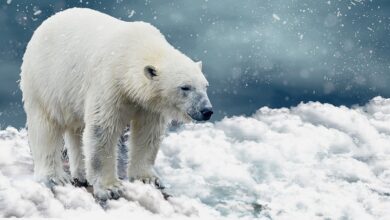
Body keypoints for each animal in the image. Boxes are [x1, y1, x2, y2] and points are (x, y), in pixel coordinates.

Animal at [19, 7, 213, 200]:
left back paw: (81, 174)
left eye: (205, 86)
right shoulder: (109, 83)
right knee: (45, 127)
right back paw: (54, 177)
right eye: (185, 87)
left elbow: (148, 133)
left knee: (77, 130)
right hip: (45, 83)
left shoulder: (148, 104)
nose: (207, 110)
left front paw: (148, 178)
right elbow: (102, 130)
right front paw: (110, 188)